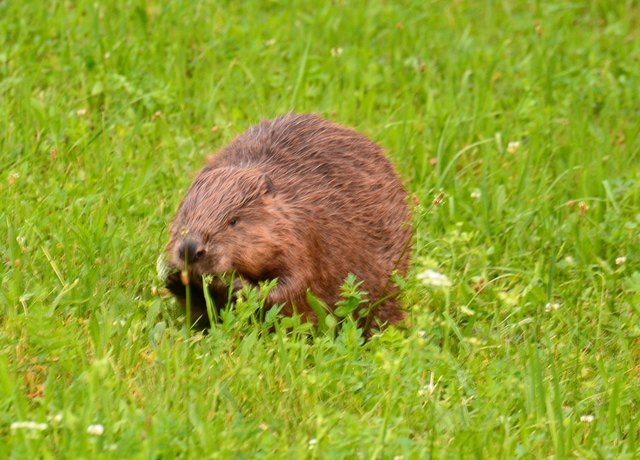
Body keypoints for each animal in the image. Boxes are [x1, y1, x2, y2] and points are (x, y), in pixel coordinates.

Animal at [165, 114, 412, 330]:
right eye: (184, 214)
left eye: (233, 220)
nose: (190, 249)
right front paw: (175, 278)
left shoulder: (305, 237)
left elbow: (294, 287)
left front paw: (237, 286)